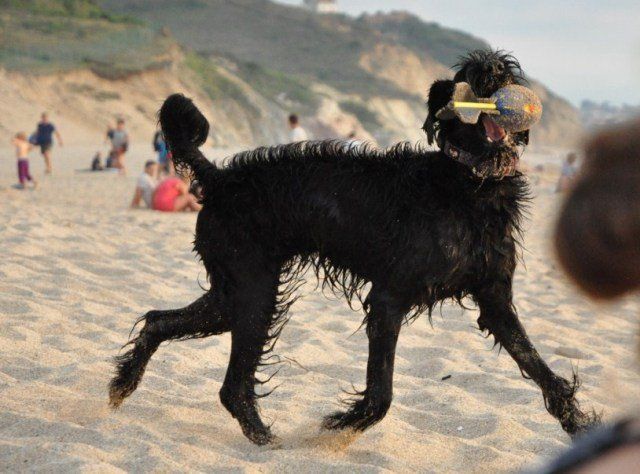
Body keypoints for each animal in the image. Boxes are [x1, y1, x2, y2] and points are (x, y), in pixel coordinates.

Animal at [109, 49, 598, 445]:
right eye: (470, 74)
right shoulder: (388, 298)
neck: (468, 184)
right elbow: (382, 393)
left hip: (233, 291)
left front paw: (577, 423)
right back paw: (262, 437)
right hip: (252, 290)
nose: (494, 71)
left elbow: (542, 370)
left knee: (159, 321)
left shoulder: (494, 299)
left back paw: (123, 385)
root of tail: (218, 178)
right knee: (231, 384)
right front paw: (341, 427)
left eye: (507, 70)